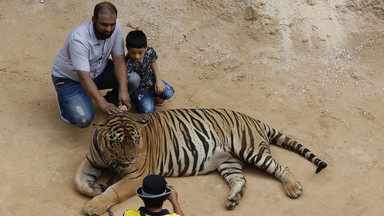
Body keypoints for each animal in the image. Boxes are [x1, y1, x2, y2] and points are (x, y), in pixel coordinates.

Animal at [75, 109, 328, 215]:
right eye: (118, 143)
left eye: (136, 140)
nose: (130, 158)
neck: (111, 158)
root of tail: (253, 119)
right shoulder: (92, 159)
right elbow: (78, 181)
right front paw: (93, 188)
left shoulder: (136, 175)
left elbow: (114, 191)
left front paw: (93, 205)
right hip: (229, 163)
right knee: (240, 180)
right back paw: (233, 200)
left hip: (251, 149)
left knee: (281, 167)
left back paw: (294, 188)